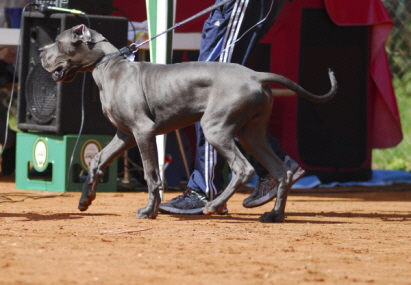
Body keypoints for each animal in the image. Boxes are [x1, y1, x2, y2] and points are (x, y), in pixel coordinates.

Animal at [39, 24, 338, 222]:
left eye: (58, 41)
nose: (40, 54)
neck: (109, 67)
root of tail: (256, 75)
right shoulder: (125, 135)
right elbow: (97, 160)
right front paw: (85, 199)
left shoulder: (143, 131)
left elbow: (151, 174)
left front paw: (149, 211)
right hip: (251, 134)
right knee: (281, 171)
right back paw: (274, 214)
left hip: (216, 129)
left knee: (243, 169)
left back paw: (214, 205)